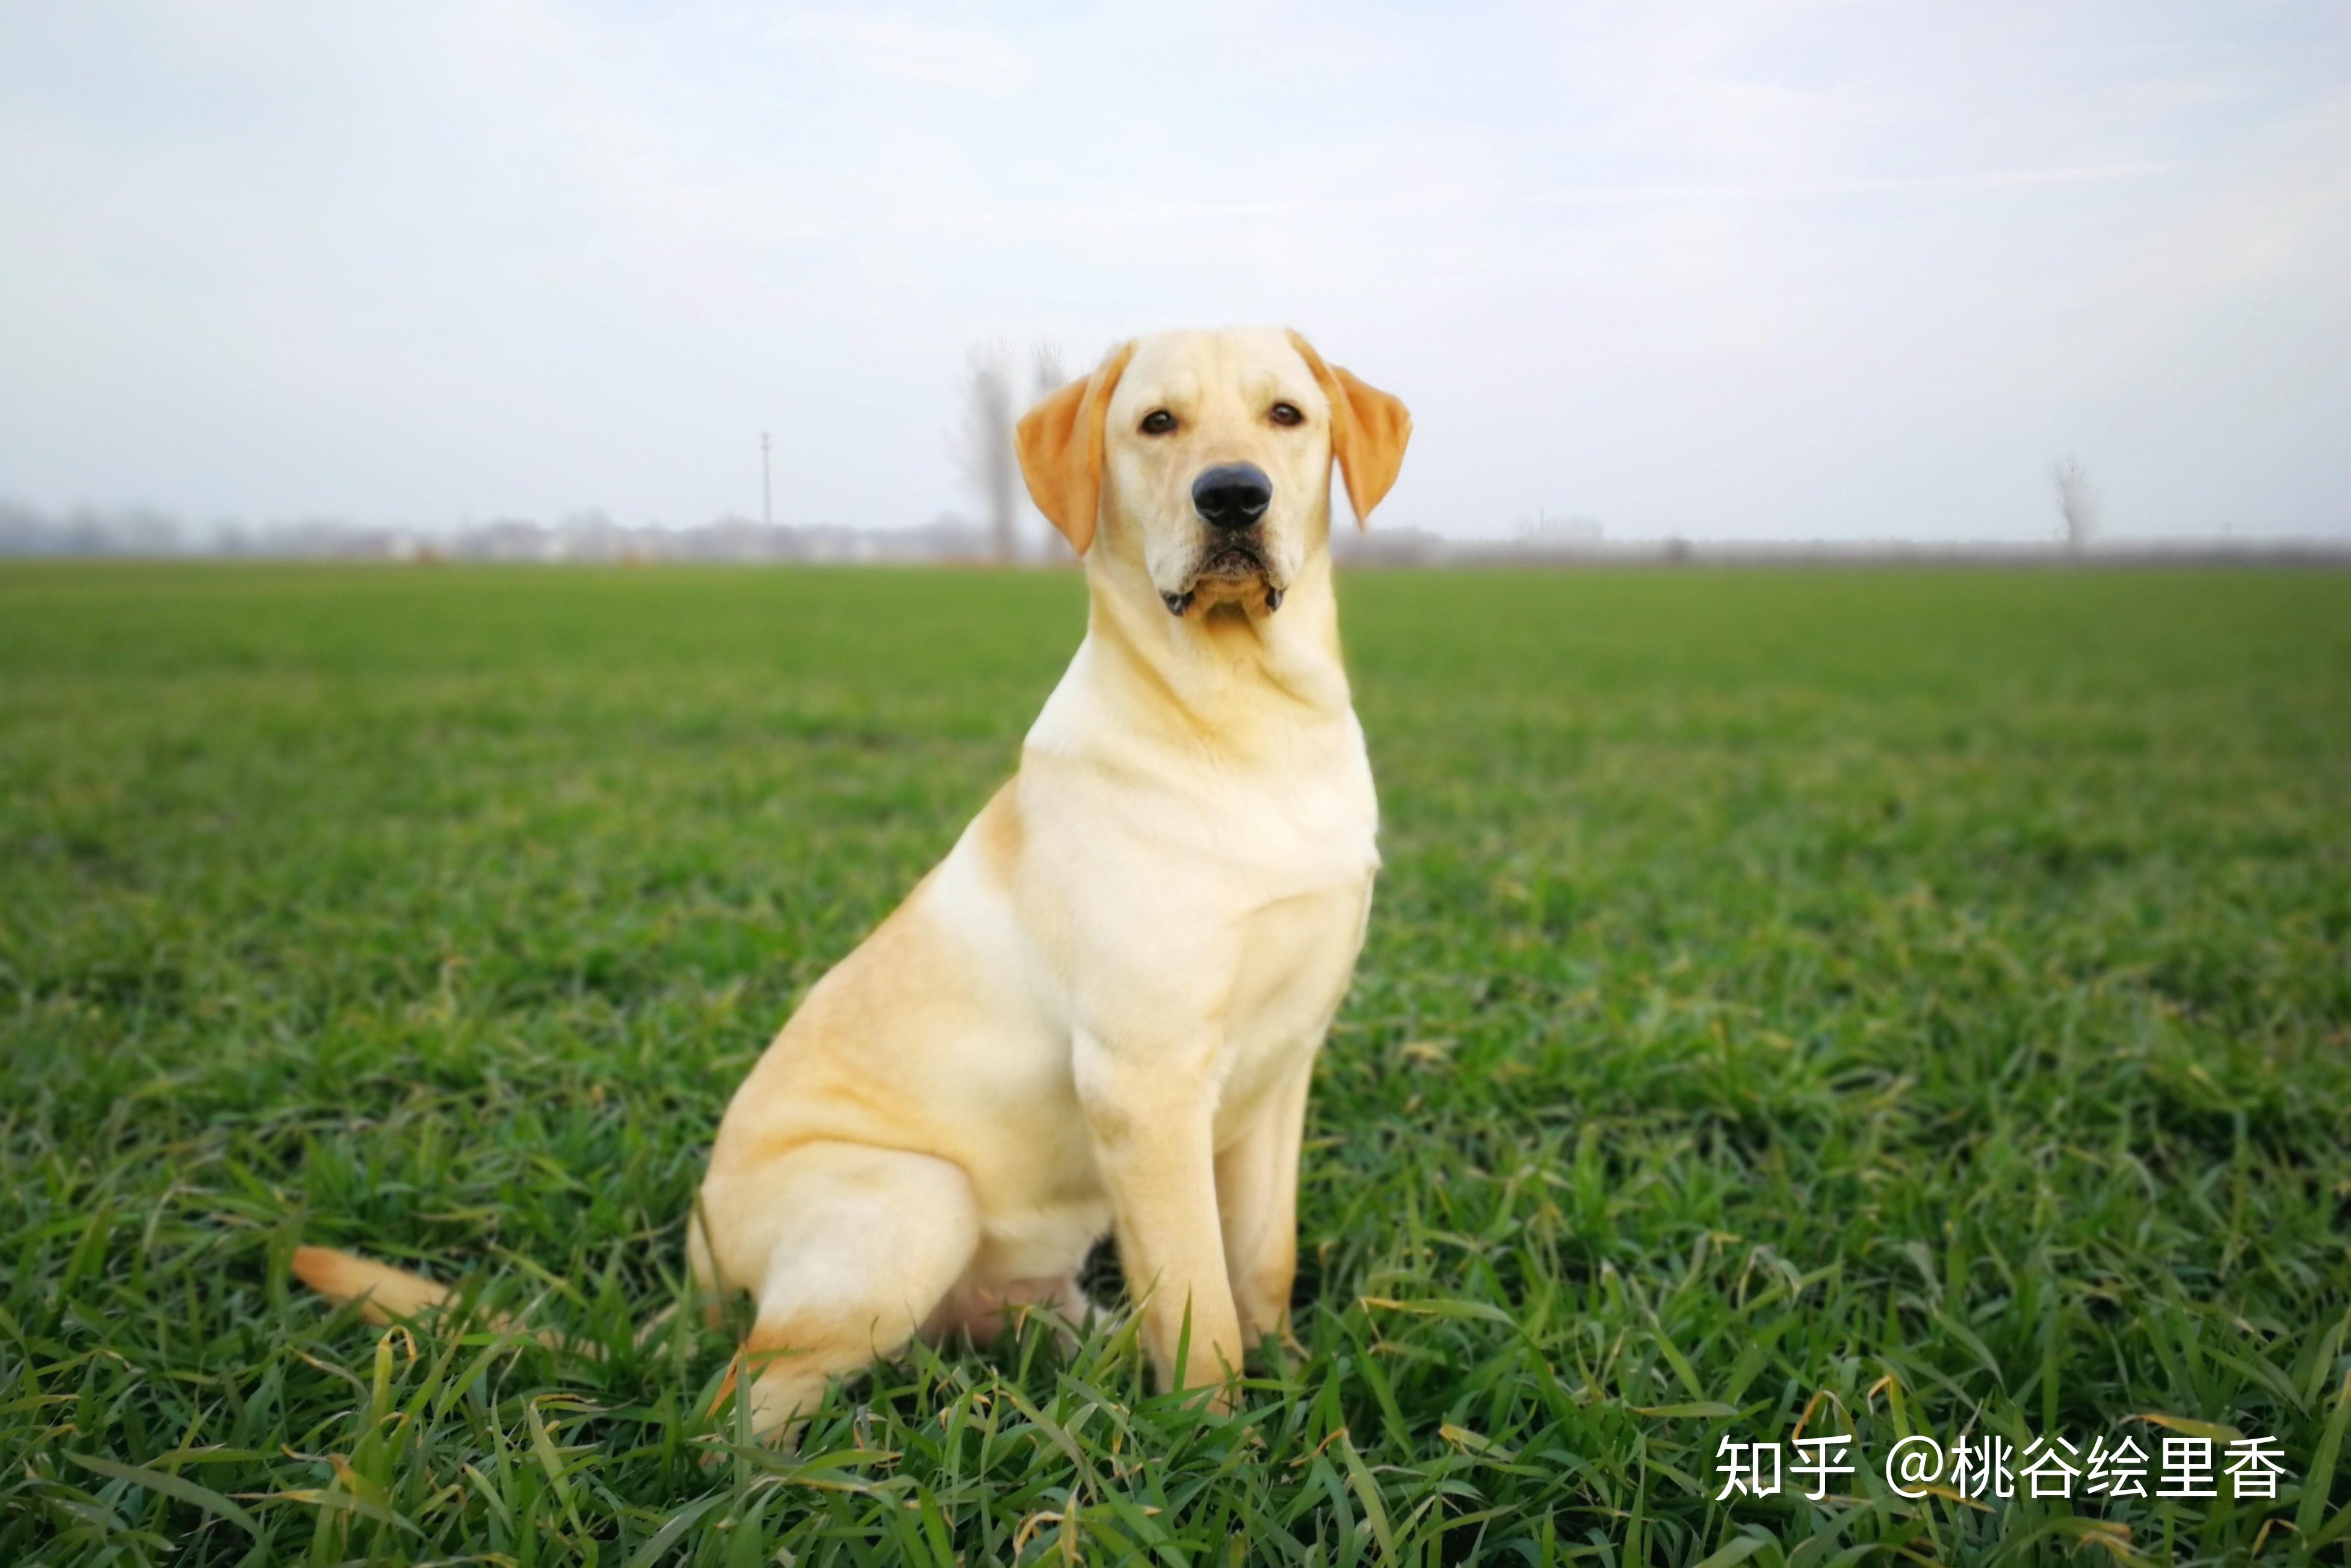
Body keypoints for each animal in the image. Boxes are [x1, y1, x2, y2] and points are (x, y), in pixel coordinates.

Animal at [289, 324, 1391, 1439]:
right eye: (1155, 423)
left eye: (1285, 416)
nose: (1233, 495)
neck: (1248, 718)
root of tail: (695, 1279)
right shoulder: (1144, 1083)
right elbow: (1198, 1302)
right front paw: (1216, 1439)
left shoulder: (1283, 1064)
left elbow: (1260, 1263)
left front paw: (1294, 1387)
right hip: (916, 1201)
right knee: (733, 1409)